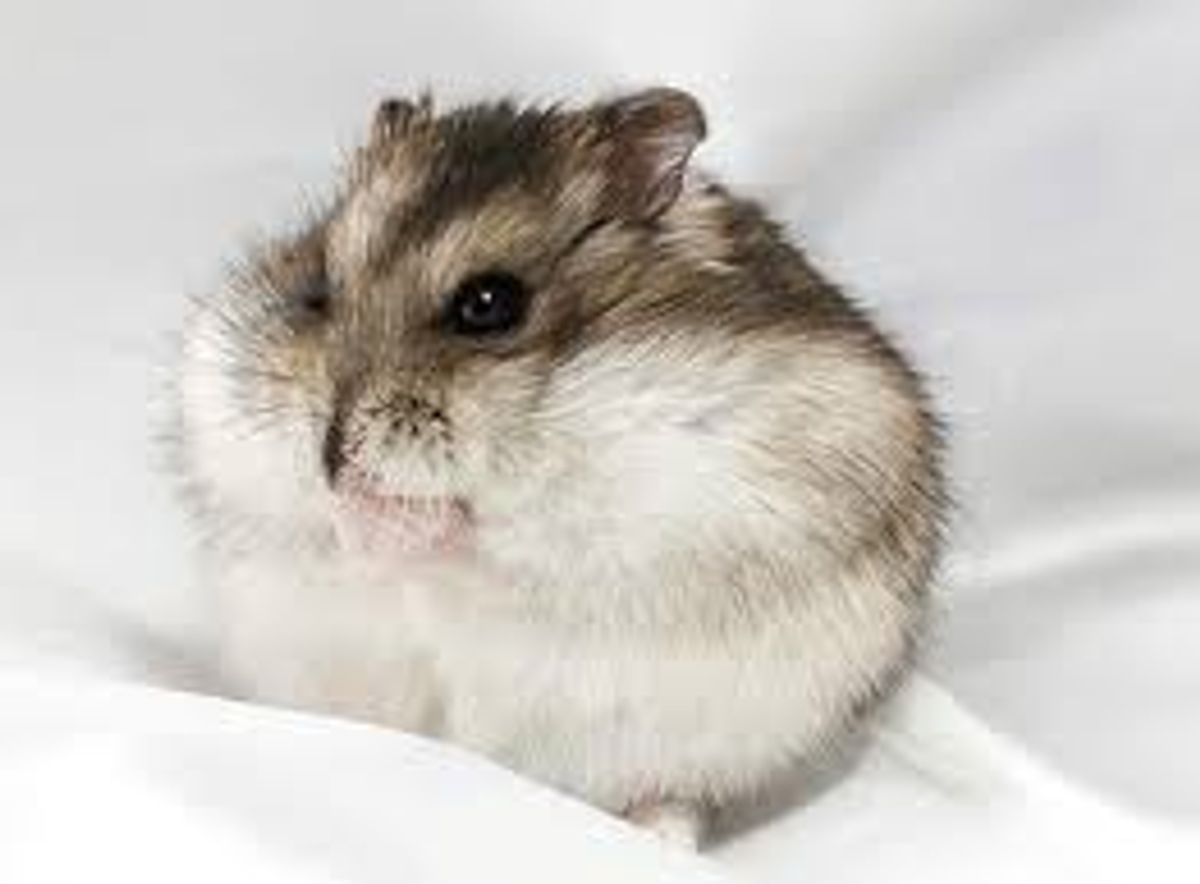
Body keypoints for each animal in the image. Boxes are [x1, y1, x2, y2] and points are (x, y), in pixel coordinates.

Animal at [175, 88, 945, 847]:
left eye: (488, 304)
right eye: (318, 293)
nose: (332, 458)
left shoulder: (674, 497)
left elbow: (499, 535)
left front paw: (413, 518)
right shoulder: (234, 433)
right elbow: (315, 517)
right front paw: (356, 508)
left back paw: (659, 837)